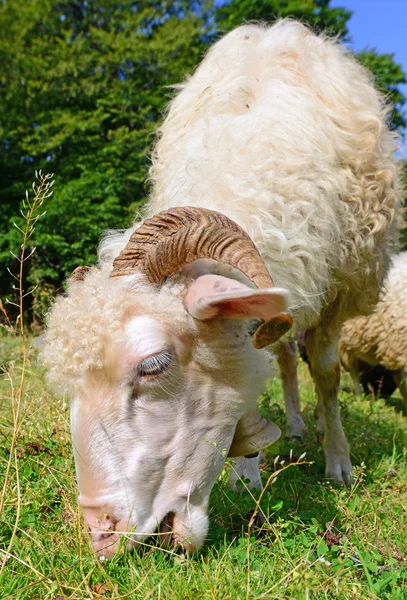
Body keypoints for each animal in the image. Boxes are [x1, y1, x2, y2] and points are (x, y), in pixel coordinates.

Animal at [43, 19, 402, 556]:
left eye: (154, 365)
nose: (101, 534)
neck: (250, 153)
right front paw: (246, 473)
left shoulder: (339, 290)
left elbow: (326, 372)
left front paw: (339, 462)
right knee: (283, 359)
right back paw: (296, 425)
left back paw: (317, 427)